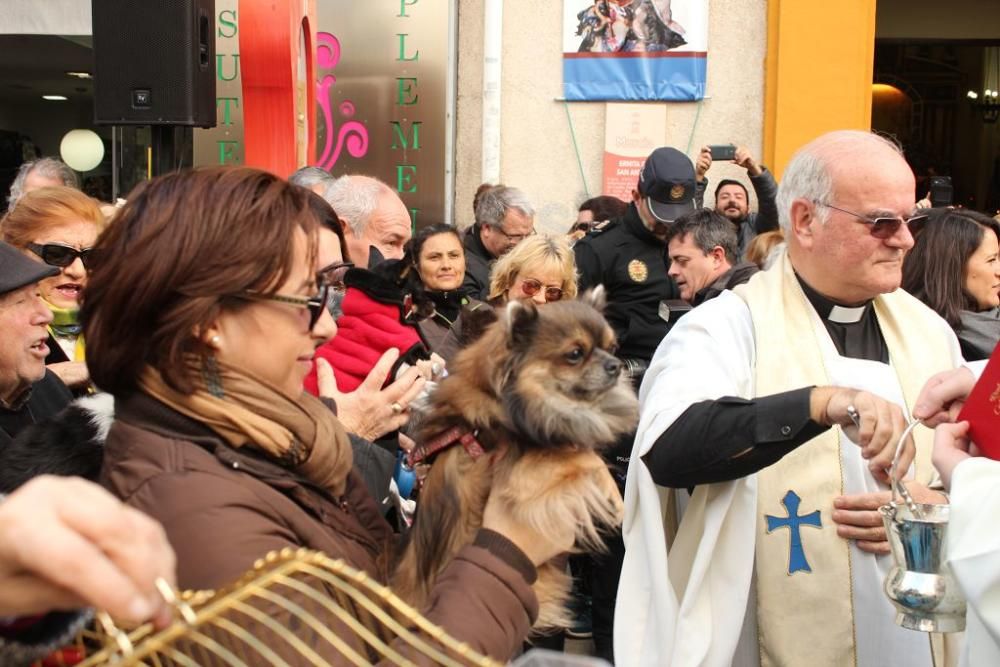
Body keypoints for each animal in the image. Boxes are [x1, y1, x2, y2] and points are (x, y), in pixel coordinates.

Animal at [392, 290, 636, 628]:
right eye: (575, 354)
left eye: (611, 348)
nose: (615, 365)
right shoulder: (522, 470)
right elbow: (582, 457)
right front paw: (615, 498)